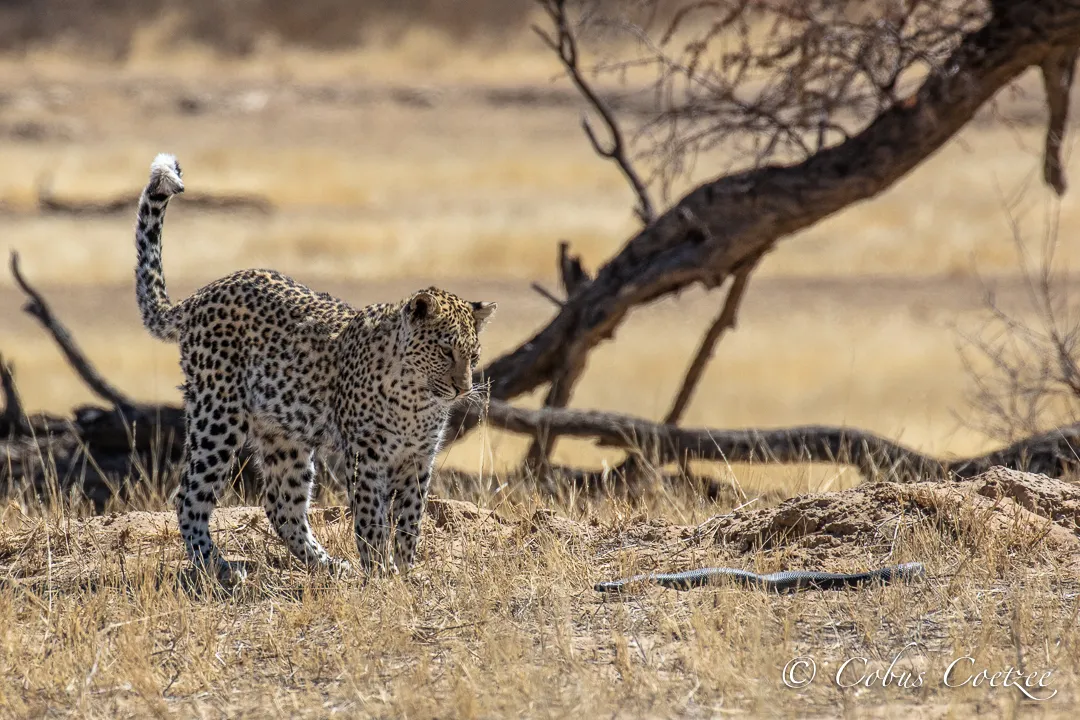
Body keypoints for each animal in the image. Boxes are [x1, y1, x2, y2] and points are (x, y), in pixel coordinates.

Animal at [132, 153, 496, 583]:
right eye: (444, 351)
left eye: (473, 356)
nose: (462, 389)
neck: (416, 399)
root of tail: (200, 296)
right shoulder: (366, 456)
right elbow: (372, 518)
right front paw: (380, 572)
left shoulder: (418, 458)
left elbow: (410, 518)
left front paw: (405, 572)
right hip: (217, 417)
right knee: (189, 494)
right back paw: (217, 568)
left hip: (282, 435)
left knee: (281, 505)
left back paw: (329, 566)